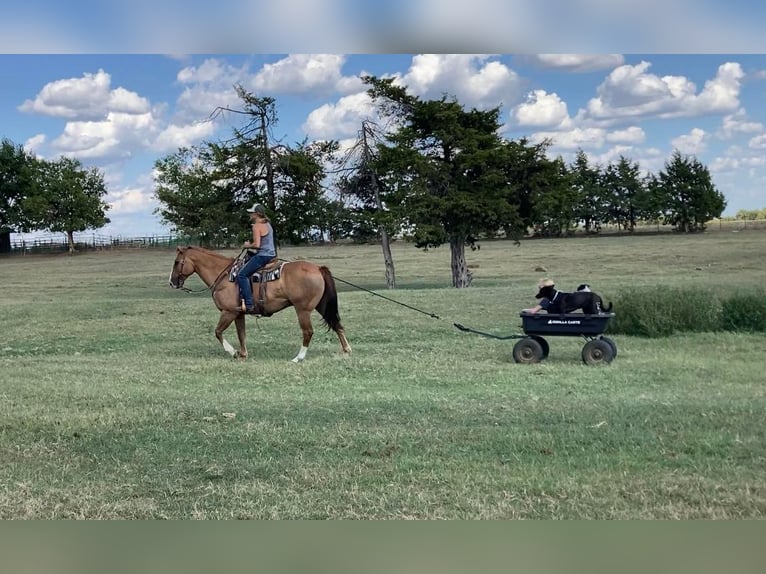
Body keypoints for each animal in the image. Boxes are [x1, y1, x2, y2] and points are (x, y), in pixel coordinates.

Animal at [170, 245, 352, 362]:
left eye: (177, 262)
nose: (172, 283)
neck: (225, 275)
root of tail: (318, 268)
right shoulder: (238, 313)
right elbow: (241, 334)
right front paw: (243, 354)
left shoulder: (228, 312)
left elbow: (218, 332)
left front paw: (233, 352)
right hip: (321, 306)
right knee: (337, 324)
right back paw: (346, 350)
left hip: (303, 310)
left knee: (308, 332)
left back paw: (298, 358)